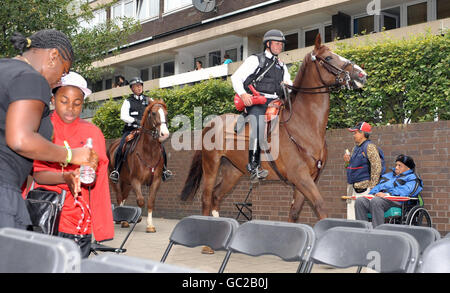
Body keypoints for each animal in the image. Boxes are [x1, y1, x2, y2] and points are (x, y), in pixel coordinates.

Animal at [108, 99, 170, 232]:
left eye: (166, 113)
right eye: (153, 113)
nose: (165, 134)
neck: (149, 151)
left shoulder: (156, 180)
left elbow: (150, 201)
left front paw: (150, 225)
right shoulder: (136, 180)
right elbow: (140, 201)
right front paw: (139, 217)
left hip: (127, 183)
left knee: (124, 196)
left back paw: (124, 220)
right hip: (116, 181)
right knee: (119, 197)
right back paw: (123, 221)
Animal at [178, 33, 368, 224]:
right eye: (328, 58)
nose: (362, 75)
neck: (303, 125)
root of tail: (211, 123)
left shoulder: (307, 179)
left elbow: (294, 213)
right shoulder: (301, 177)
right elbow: (320, 207)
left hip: (233, 171)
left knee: (217, 195)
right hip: (211, 165)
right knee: (206, 198)